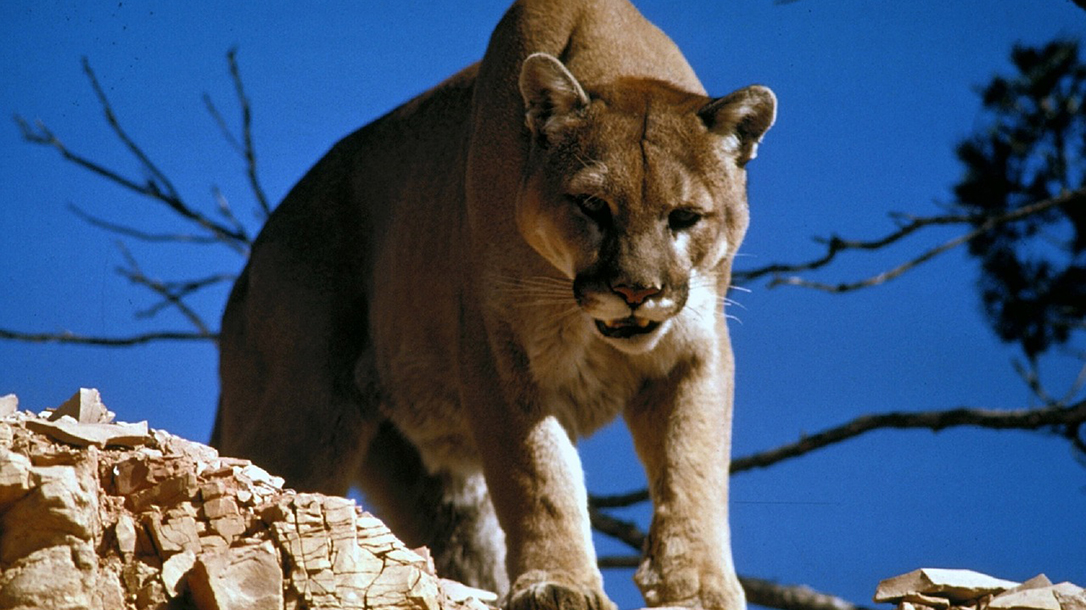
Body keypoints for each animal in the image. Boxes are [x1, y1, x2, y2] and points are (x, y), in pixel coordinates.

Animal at [213, 1, 776, 609]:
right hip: (305, 416)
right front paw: (559, 583)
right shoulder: (499, 349)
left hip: (432, 482)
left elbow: (693, 468)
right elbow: (538, 474)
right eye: (592, 205)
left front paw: (698, 585)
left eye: (685, 217)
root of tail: (252, 262)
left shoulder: (695, 349)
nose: (636, 291)